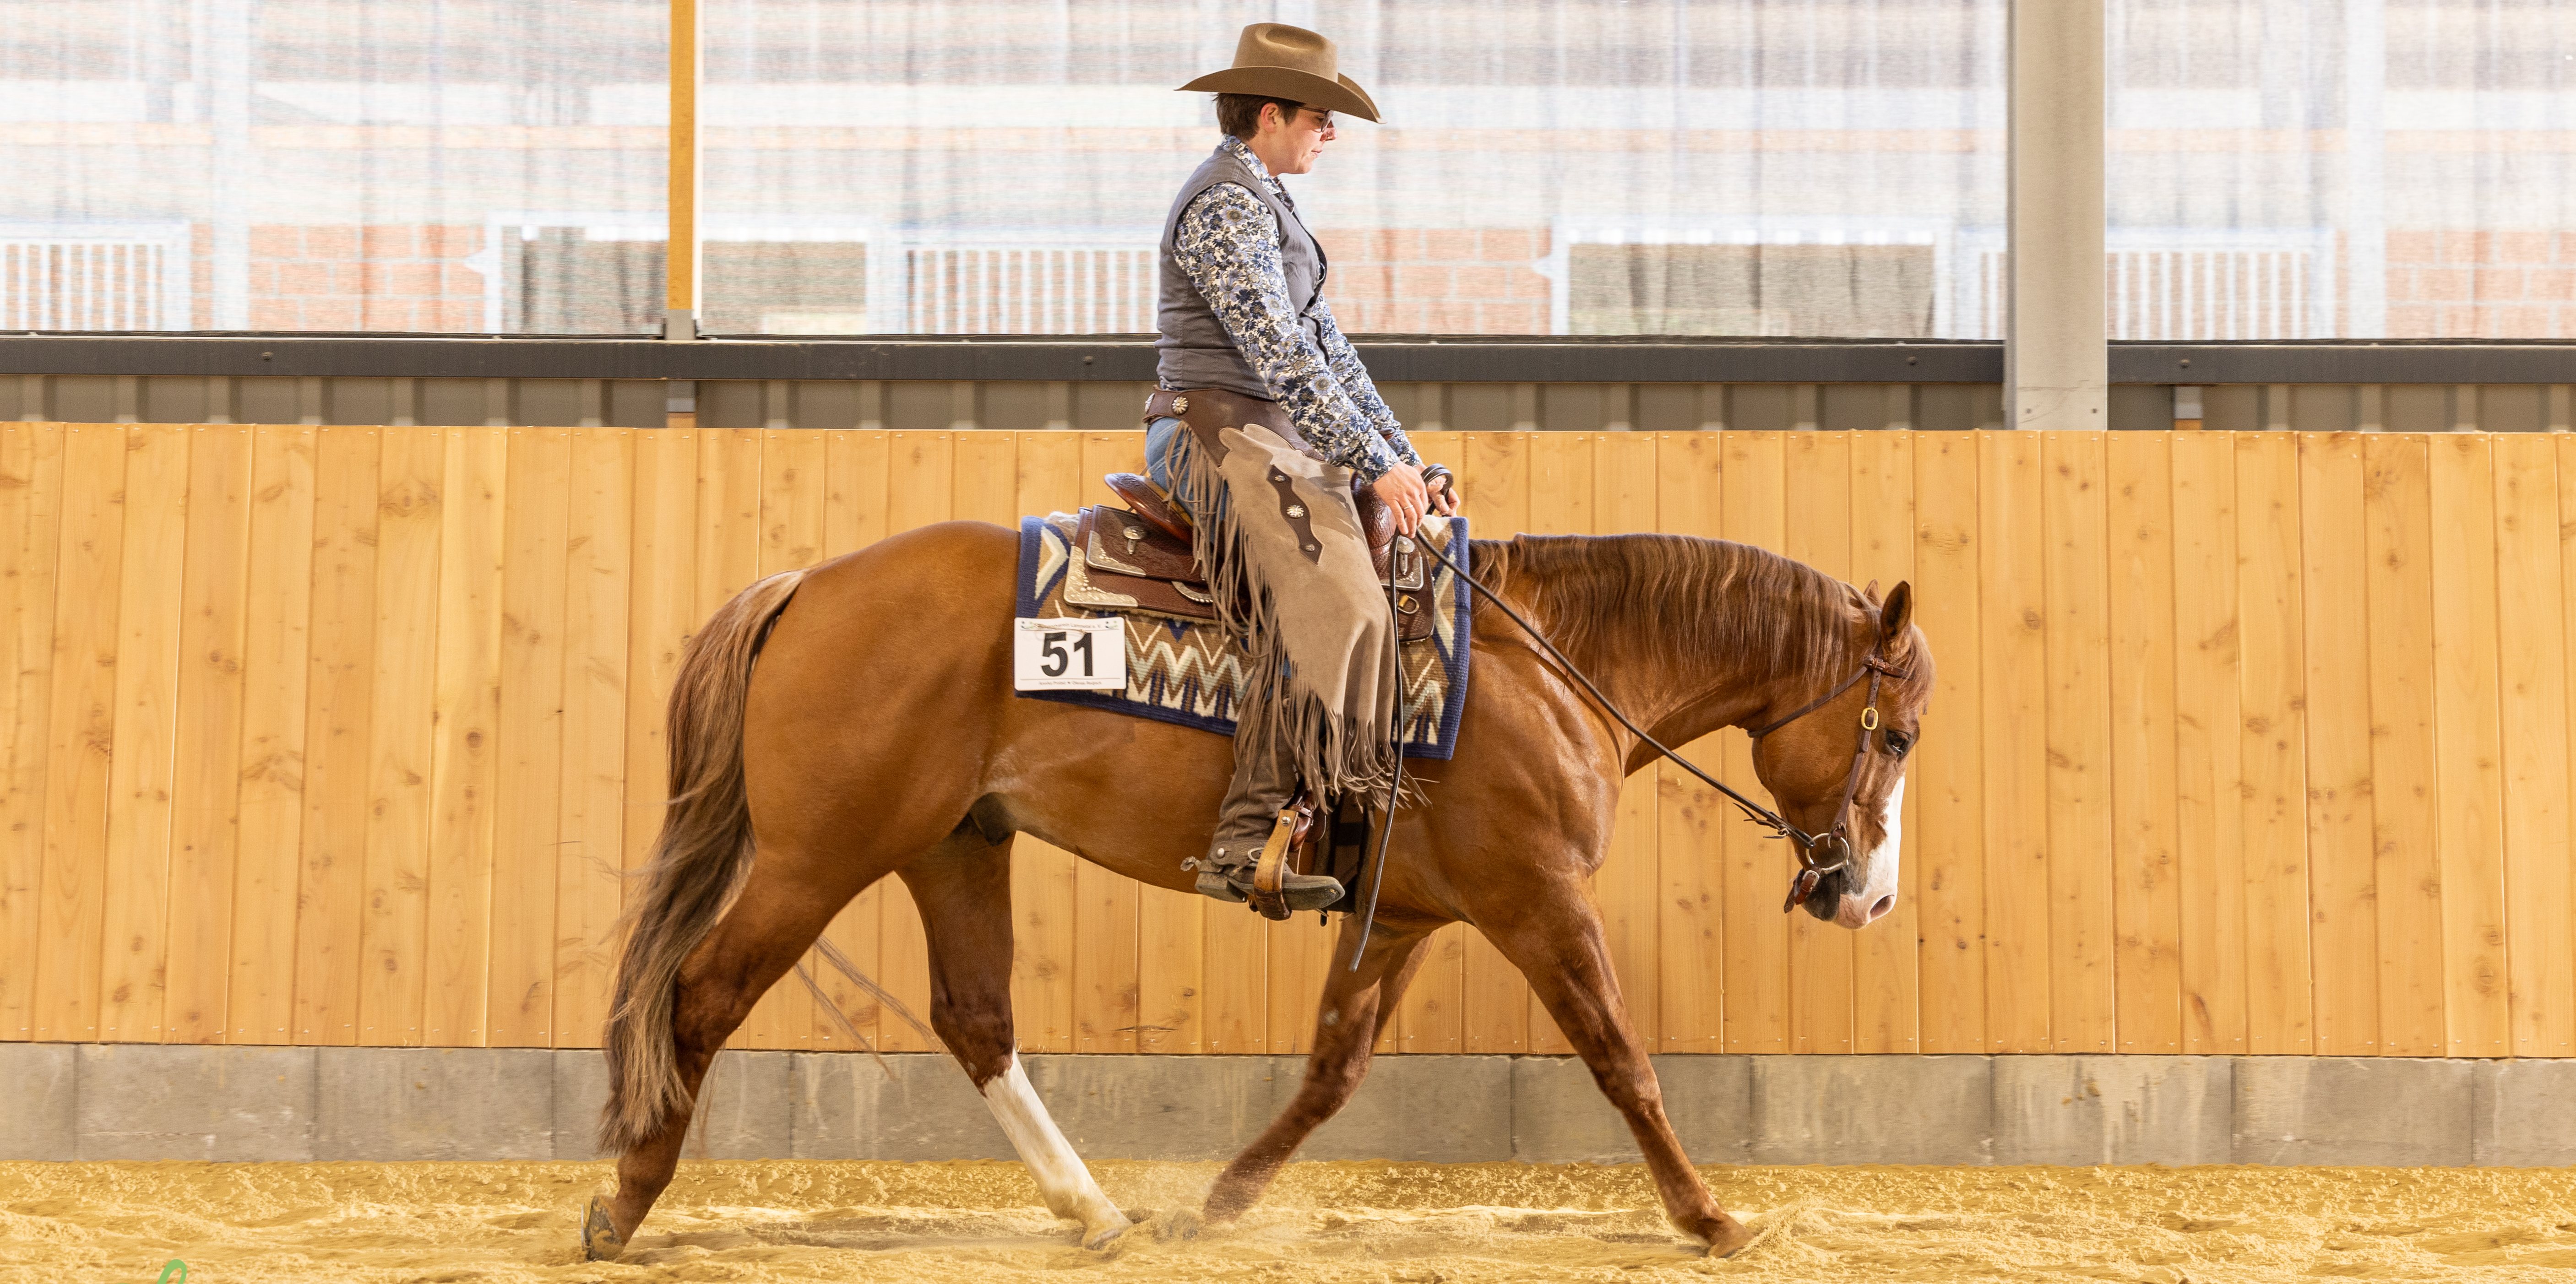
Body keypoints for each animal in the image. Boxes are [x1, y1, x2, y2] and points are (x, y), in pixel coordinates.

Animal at [581, 519, 1936, 1261]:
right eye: (1897, 733)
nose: (1866, 896)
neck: (1543, 666)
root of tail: (805, 586)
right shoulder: (1537, 899)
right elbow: (1621, 1057)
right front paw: (1713, 1219)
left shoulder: (1404, 912)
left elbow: (1332, 1066)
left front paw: (1219, 1204)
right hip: (817, 857)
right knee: (697, 996)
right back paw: (624, 1203)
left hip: (955, 843)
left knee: (975, 1017)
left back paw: (1096, 1211)